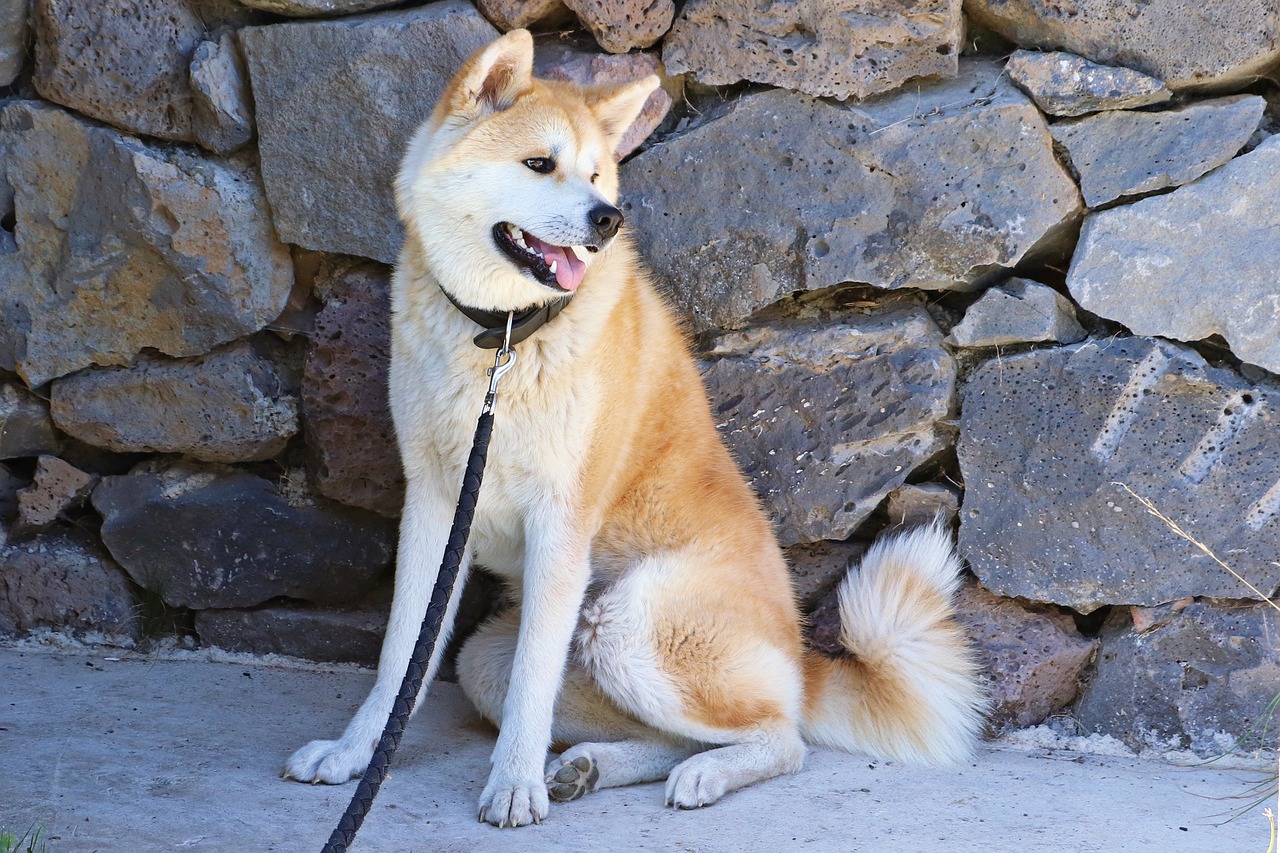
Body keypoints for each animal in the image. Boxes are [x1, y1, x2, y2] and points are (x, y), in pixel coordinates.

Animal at [285, 31, 983, 824]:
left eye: (595, 175)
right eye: (539, 164)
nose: (606, 220)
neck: (504, 338)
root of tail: (802, 657)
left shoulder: (561, 517)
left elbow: (531, 683)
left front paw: (514, 783)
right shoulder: (434, 502)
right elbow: (402, 655)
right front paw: (355, 754)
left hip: (625, 621)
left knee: (783, 736)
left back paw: (701, 772)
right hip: (496, 657)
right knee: (671, 732)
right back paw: (589, 766)